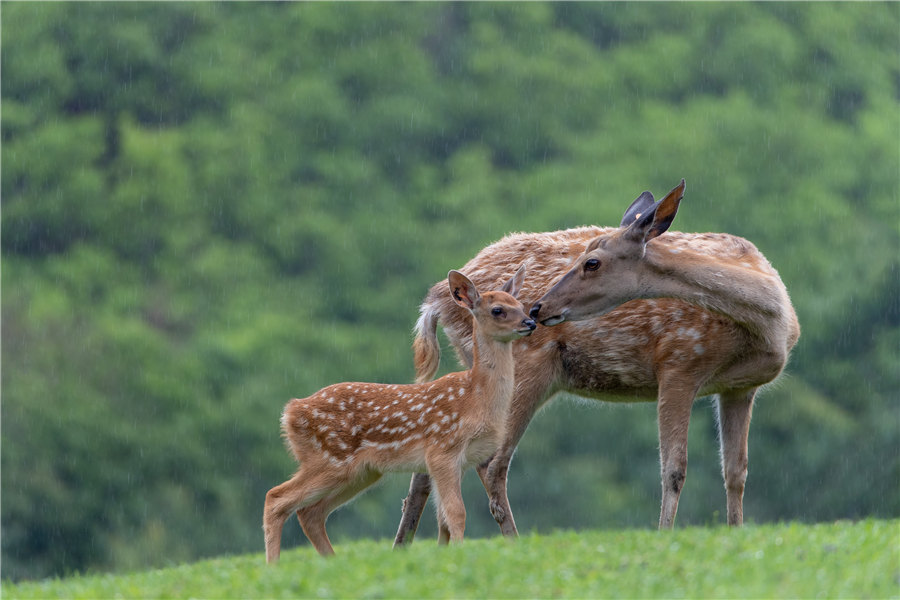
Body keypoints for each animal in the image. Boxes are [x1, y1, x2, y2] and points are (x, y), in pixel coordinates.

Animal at [266, 264, 536, 560]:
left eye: (521, 305)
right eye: (498, 310)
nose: (530, 323)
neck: (475, 398)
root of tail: (290, 412)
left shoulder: (458, 461)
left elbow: (443, 520)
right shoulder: (442, 449)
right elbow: (456, 513)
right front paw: (459, 553)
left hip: (360, 472)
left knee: (310, 512)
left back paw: (330, 561)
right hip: (328, 458)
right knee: (276, 498)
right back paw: (273, 565)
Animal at [398, 179, 800, 544]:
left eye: (592, 262)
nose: (538, 308)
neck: (768, 324)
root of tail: (437, 300)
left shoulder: (740, 387)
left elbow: (736, 471)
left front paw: (736, 532)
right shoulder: (679, 362)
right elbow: (674, 469)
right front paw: (664, 535)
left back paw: (407, 545)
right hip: (523, 371)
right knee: (492, 464)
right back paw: (512, 541)